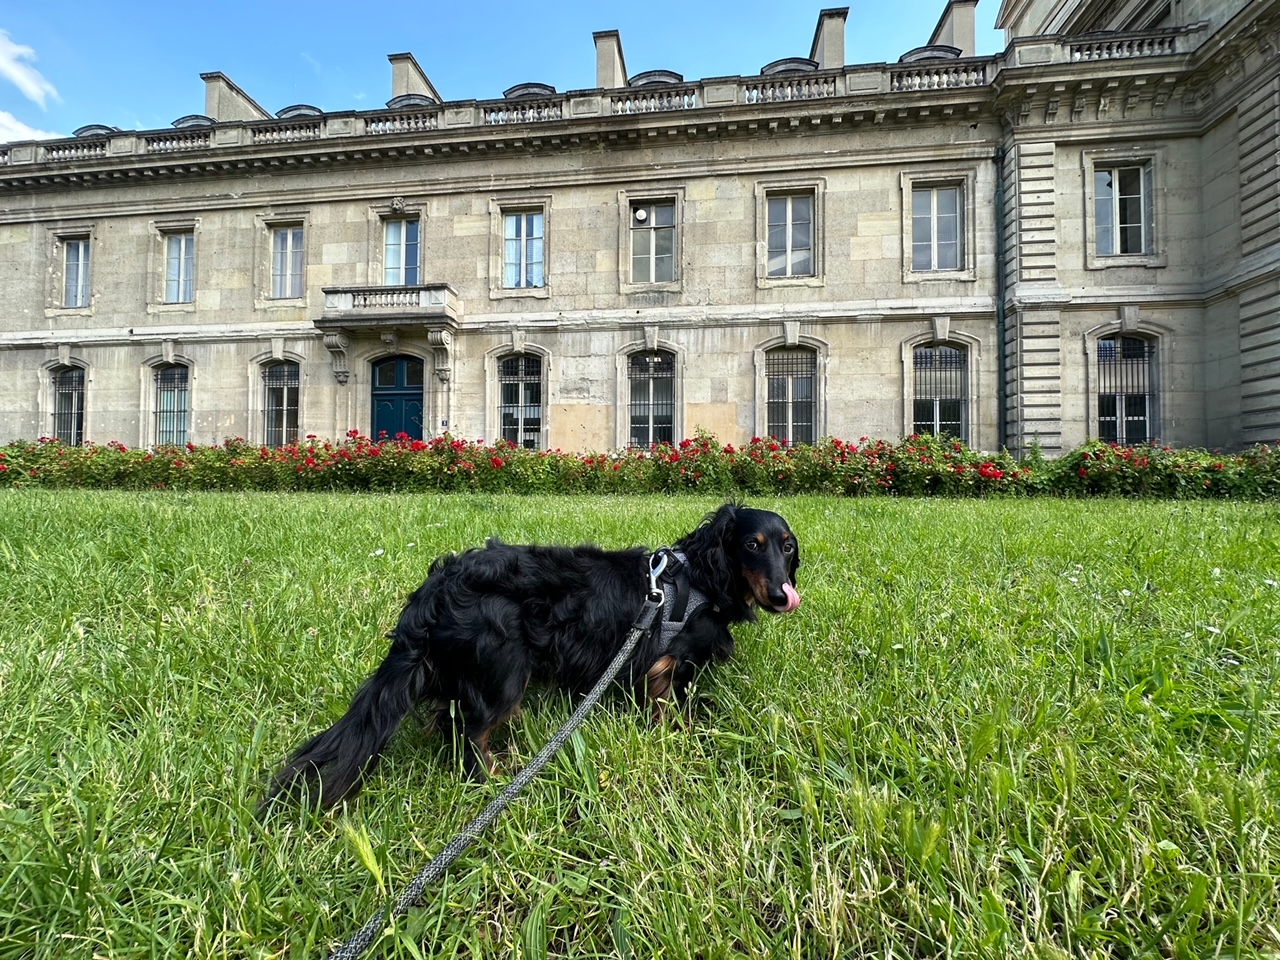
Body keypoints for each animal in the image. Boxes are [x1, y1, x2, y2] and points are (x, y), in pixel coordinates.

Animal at [261, 504, 798, 814]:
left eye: (787, 547)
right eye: (751, 545)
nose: (781, 596)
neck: (699, 578)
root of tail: (439, 586)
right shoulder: (667, 662)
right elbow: (672, 706)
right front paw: (683, 737)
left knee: (447, 717)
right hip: (505, 674)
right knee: (470, 735)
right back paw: (495, 779)